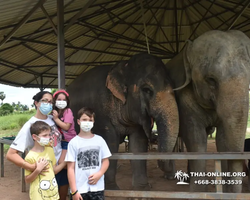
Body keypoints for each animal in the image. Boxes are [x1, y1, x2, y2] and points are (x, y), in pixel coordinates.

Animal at [66, 52, 180, 191]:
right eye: (147, 90)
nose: (169, 175)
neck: (123, 66)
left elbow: (138, 144)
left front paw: (142, 189)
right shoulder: (100, 113)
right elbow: (110, 144)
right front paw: (111, 189)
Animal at [164, 29, 250, 192]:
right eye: (211, 79)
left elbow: (222, 140)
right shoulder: (184, 96)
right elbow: (196, 138)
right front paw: (198, 192)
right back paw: (170, 176)